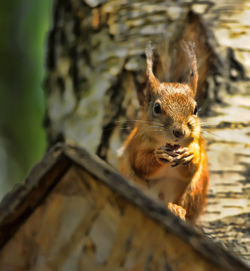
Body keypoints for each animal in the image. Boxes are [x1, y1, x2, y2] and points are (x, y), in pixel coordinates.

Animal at [119, 42, 209, 224]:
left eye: (195, 109)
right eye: (157, 108)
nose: (179, 132)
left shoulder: (196, 143)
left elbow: (194, 165)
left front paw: (189, 155)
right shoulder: (137, 143)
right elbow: (140, 162)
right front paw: (158, 155)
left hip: (194, 191)